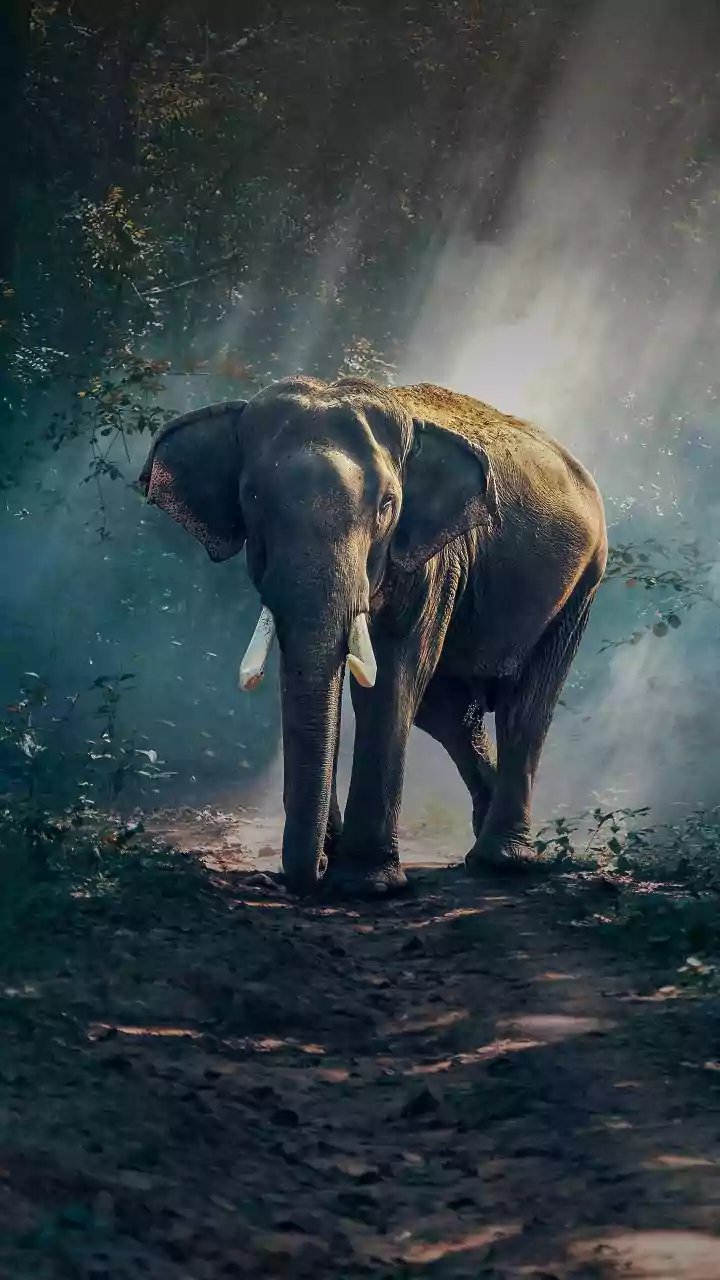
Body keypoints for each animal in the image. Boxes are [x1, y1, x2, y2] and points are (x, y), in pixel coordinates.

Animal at [139, 375, 607, 897]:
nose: (313, 871)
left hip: (582, 583)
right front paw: (337, 861)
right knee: (448, 713)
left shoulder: (431, 558)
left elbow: (391, 679)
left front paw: (368, 884)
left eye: (387, 506)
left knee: (525, 708)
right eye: (252, 499)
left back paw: (502, 861)